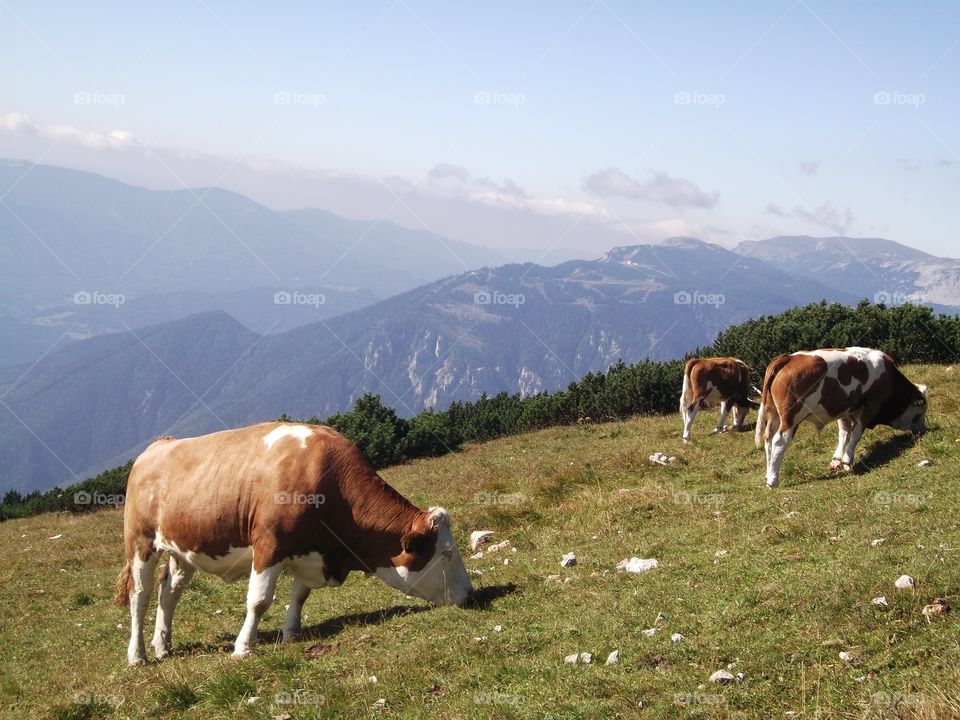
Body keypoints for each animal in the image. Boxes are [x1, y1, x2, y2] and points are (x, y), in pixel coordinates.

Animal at [116, 421, 473, 666]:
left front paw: (291, 635)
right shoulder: (269, 546)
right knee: (140, 596)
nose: (470, 594)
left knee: (168, 592)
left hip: (183, 550)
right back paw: (137, 655)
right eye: (446, 554)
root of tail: (158, 446)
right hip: (141, 543)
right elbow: (259, 601)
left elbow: (300, 595)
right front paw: (243, 647)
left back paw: (163, 646)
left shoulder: (309, 552)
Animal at [755, 347, 928, 488]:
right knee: (779, 441)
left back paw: (768, 474)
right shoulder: (871, 405)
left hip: (773, 413)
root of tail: (788, 358)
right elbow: (856, 434)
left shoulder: (843, 409)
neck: (889, 377)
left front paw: (837, 460)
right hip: (791, 416)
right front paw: (847, 462)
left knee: (768, 439)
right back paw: (773, 480)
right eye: (920, 412)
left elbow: (844, 433)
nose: (923, 431)